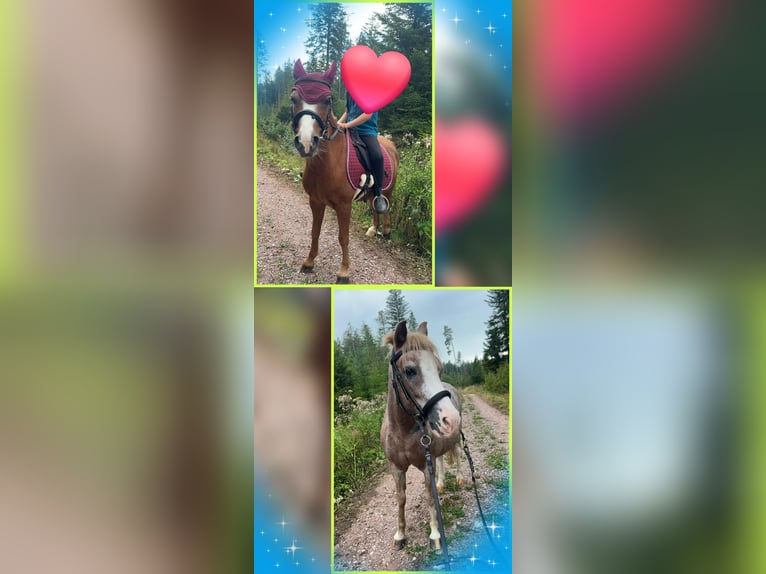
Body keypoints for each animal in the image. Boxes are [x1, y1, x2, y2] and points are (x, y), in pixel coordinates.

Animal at [380, 324, 464, 552]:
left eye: (439, 369)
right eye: (410, 370)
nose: (451, 419)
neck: (402, 430)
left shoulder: (427, 466)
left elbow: (429, 497)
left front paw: (435, 534)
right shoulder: (396, 468)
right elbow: (401, 499)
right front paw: (400, 535)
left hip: (456, 439)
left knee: (458, 455)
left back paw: (460, 478)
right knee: (442, 459)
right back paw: (442, 483)